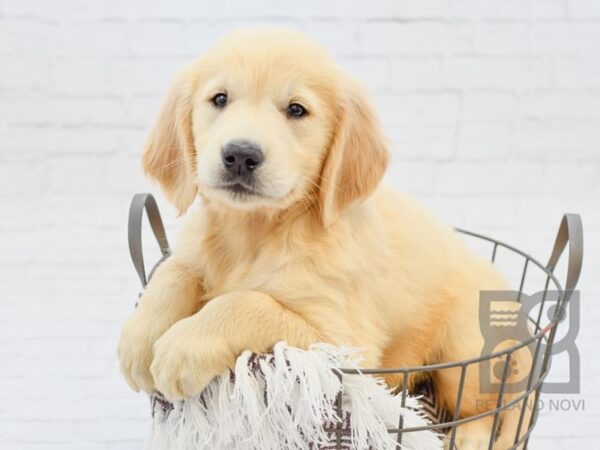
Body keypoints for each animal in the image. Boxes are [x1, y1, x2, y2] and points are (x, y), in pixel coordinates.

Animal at [119, 29, 532, 450]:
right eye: (219, 99)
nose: (240, 155)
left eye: (296, 110)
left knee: (484, 409)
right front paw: (141, 335)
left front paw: (182, 346)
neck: (256, 233)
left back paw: (468, 437)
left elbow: (248, 302)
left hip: (464, 349)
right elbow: (175, 270)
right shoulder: (195, 252)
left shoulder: (340, 342)